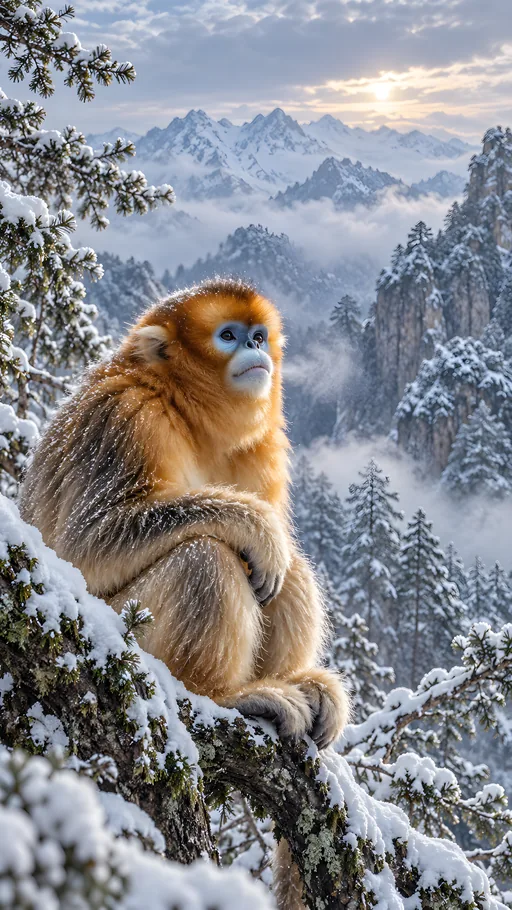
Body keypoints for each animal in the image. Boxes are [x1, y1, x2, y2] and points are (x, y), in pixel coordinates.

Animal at [20, 278, 349, 909]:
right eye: (229, 335)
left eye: (258, 334)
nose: (256, 350)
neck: (187, 413)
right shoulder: (124, 419)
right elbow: (85, 544)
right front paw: (251, 525)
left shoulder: (262, 451)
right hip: (126, 635)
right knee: (209, 556)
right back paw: (229, 697)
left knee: (284, 572)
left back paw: (299, 687)